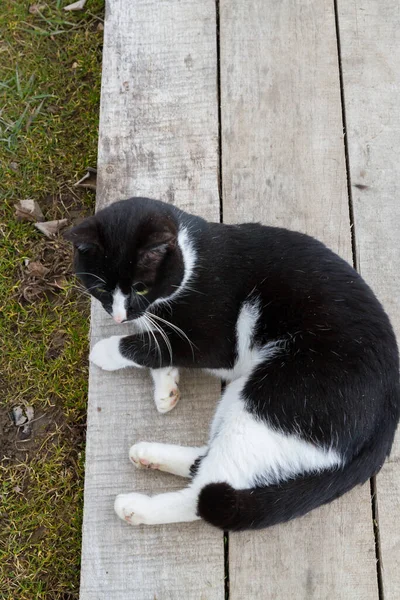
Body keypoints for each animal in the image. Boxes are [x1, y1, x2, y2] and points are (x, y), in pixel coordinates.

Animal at [65, 196, 400, 528]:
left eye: (141, 287)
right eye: (101, 289)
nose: (119, 317)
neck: (192, 259)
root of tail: (386, 423)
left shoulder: (216, 345)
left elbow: (155, 345)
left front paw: (107, 351)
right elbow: (158, 341)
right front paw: (166, 389)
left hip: (273, 401)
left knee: (205, 493)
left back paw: (135, 506)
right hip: (242, 392)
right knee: (206, 463)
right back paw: (149, 454)